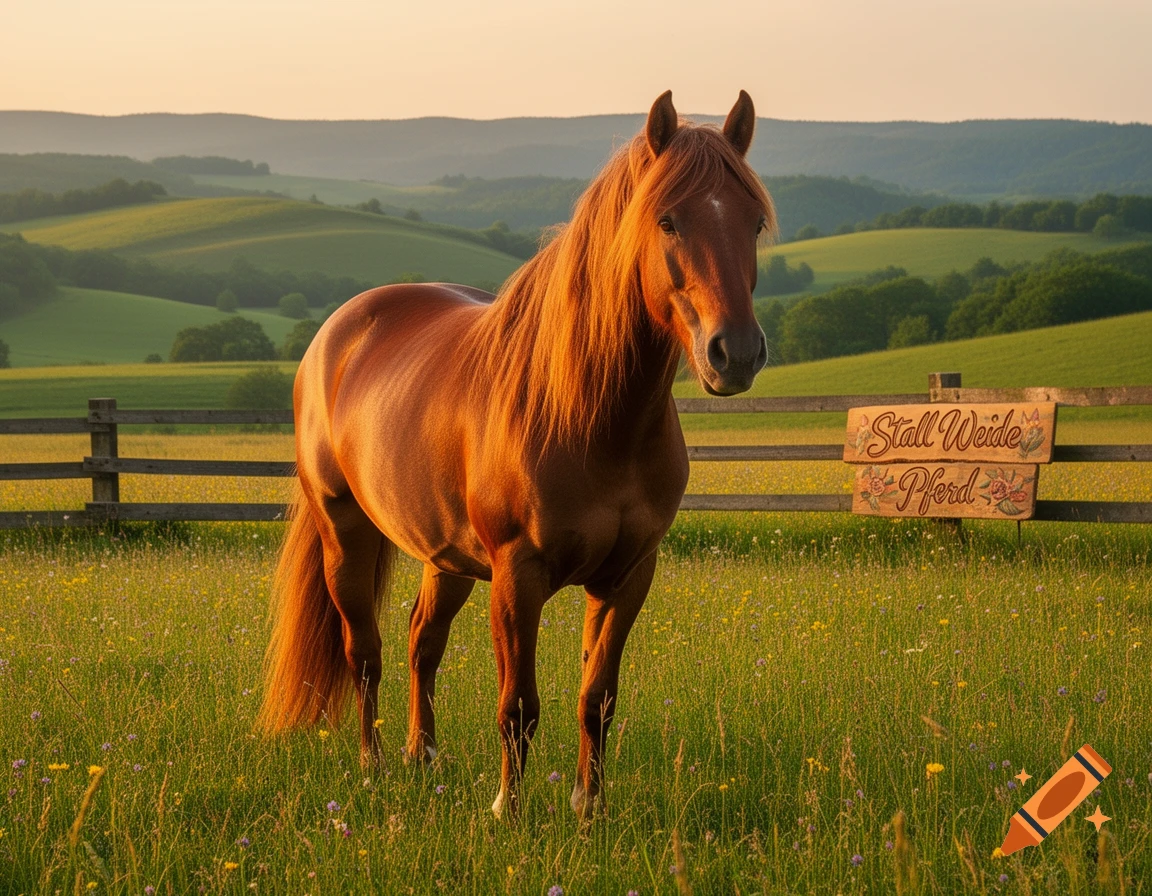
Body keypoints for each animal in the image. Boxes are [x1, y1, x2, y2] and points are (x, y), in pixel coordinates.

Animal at [259, 89, 776, 819]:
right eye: (667, 220)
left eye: (755, 224)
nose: (735, 353)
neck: (593, 418)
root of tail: (336, 331)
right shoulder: (516, 575)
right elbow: (518, 706)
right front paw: (509, 808)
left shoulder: (629, 576)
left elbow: (597, 698)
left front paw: (589, 809)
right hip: (345, 535)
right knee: (366, 652)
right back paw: (372, 766)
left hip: (443, 554)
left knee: (422, 641)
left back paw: (424, 757)